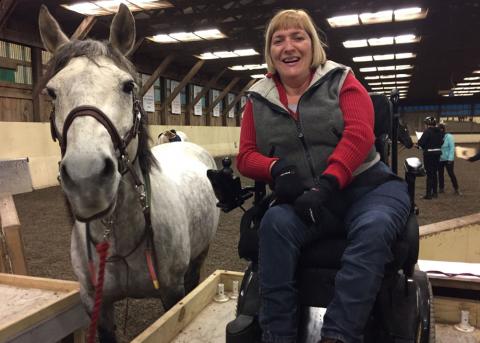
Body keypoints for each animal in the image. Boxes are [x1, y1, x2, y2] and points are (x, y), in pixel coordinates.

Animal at [39, 4, 219, 342]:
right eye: (52, 92)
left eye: (127, 85)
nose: (87, 177)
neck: (120, 233)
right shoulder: (96, 303)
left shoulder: (172, 293)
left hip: (200, 256)